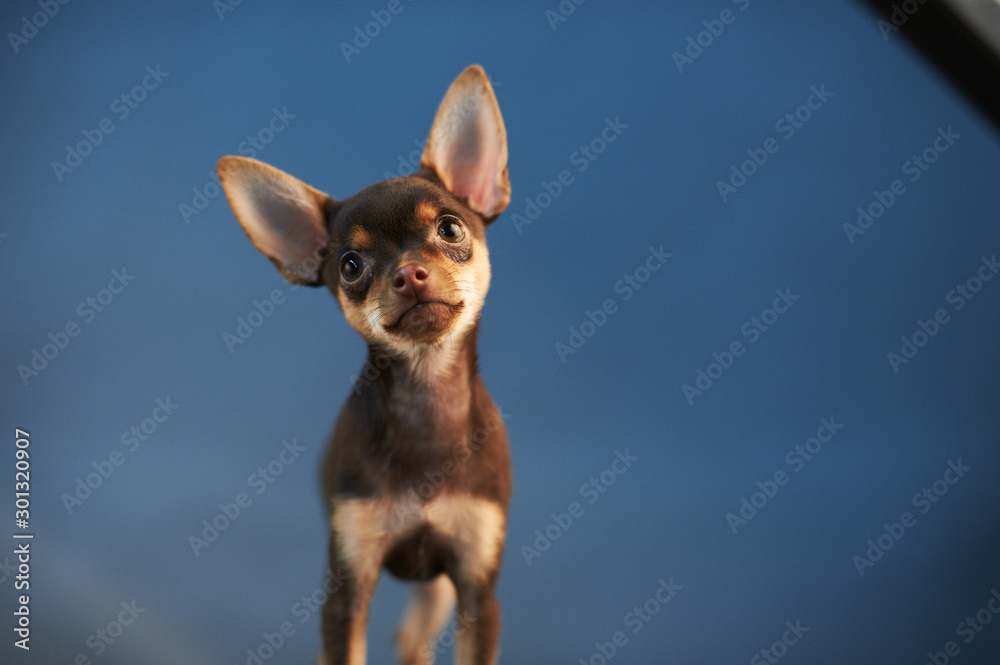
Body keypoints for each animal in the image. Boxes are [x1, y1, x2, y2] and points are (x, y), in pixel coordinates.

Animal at [220, 66, 516, 664]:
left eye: (451, 229)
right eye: (351, 266)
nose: (408, 274)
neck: (427, 400)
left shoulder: (479, 591)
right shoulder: (347, 588)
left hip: (440, 595)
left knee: (414, 637)